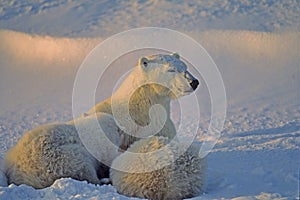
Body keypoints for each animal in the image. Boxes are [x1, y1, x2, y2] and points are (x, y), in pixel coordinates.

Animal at [4, 52, 200, 190]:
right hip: (60, 156)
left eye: (185, 66)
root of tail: (17, 169)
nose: (194, 82)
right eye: (171, 70)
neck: (141, 109)